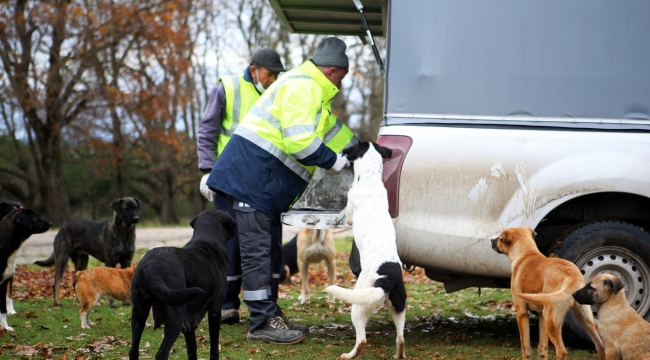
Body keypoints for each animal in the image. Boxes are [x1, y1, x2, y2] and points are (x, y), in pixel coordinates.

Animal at [128, 208, 235, 360]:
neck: (205, 243)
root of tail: (151, 266)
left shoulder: (188, 323)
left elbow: (192, 349)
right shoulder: (215, 310)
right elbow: (214, 348)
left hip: (139, 313)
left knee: (133, 350)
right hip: (175, 317)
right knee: (161, 353)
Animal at [322, 143, 402, 360]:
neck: (370, 180)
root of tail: (388, 277)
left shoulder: (350, 211)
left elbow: (346, 215)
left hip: (358, 304)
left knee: (362, 340)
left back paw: (348, 355)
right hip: (399, 308)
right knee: (400, 340)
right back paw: (398, 355)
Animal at [488, 228, 604, 360]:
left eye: (500, 238)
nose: (491, 240)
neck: (526, 254)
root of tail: (572, 278)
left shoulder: (521, 312)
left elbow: (525, 347)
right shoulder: (541, 315)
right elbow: (542, 348)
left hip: (552, 322)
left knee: (562, 351)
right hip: (585, 319)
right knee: (600, 346)